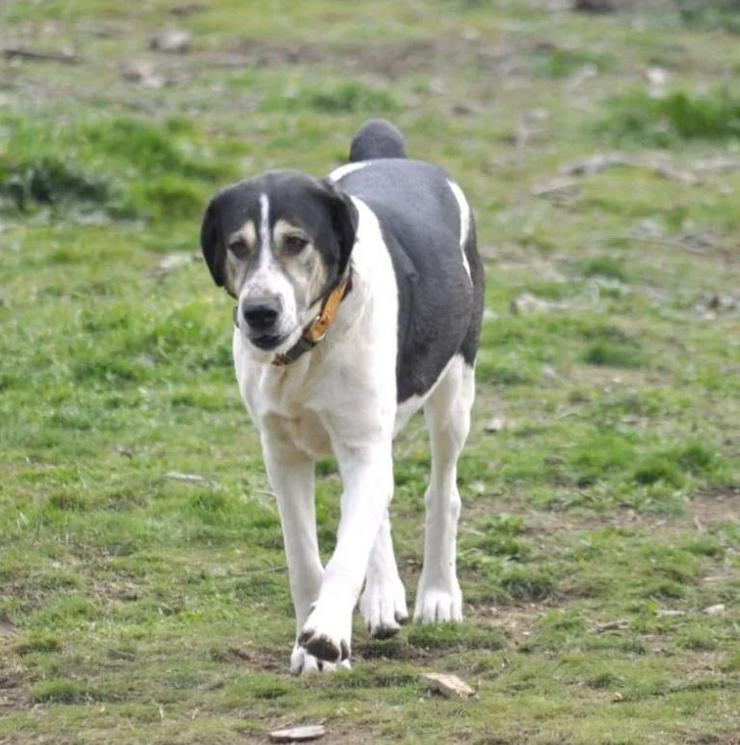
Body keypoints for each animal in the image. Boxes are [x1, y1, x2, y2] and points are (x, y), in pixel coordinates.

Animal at [198, 119, 486, 672]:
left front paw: (326, 632)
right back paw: (384, 597)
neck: (307, 347)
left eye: (295, 242)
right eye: (237, 246)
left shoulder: (363, 443)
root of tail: (392, 154)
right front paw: (310, 639)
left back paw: (438, 595)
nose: (259, 312)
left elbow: (347, 551)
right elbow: (305, 557)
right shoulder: (283, 454)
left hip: (455, 389)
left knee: (442, 490)